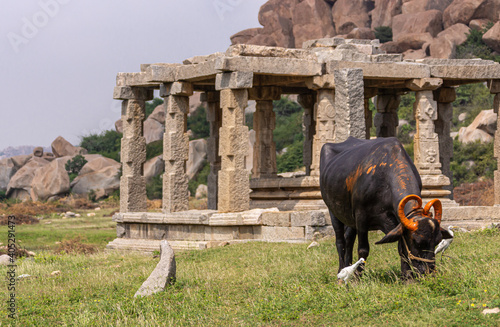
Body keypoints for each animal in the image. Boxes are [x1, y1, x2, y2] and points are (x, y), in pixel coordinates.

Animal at [320, 136, 454, 280]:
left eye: (437, 240)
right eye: (417, 241)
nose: (429, 271)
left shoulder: (397, 222)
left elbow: (402, 249)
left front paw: (407, 277)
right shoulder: (361, 217)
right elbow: (363, 249)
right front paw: (357, 277)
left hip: (349, 219)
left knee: (349, 239)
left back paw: (348, 267)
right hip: (334, 212)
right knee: (340, 242)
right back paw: (341, 271)